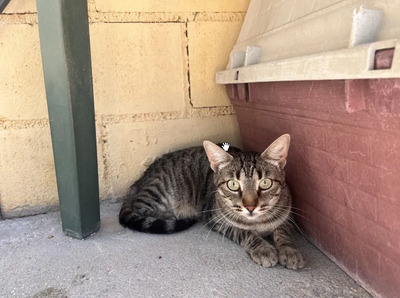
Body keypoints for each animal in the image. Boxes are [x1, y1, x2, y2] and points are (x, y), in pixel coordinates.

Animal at [120, 135, 304, 270]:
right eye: (233, 184)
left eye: (265, 183)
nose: (250, 207)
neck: (258, 222)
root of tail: (142, 178)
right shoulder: (218, 220)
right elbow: (245, 233)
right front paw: (263, 248)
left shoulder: (288, 216)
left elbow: (283, 232)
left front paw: (289, 251)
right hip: (160, 189)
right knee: (139, 206)